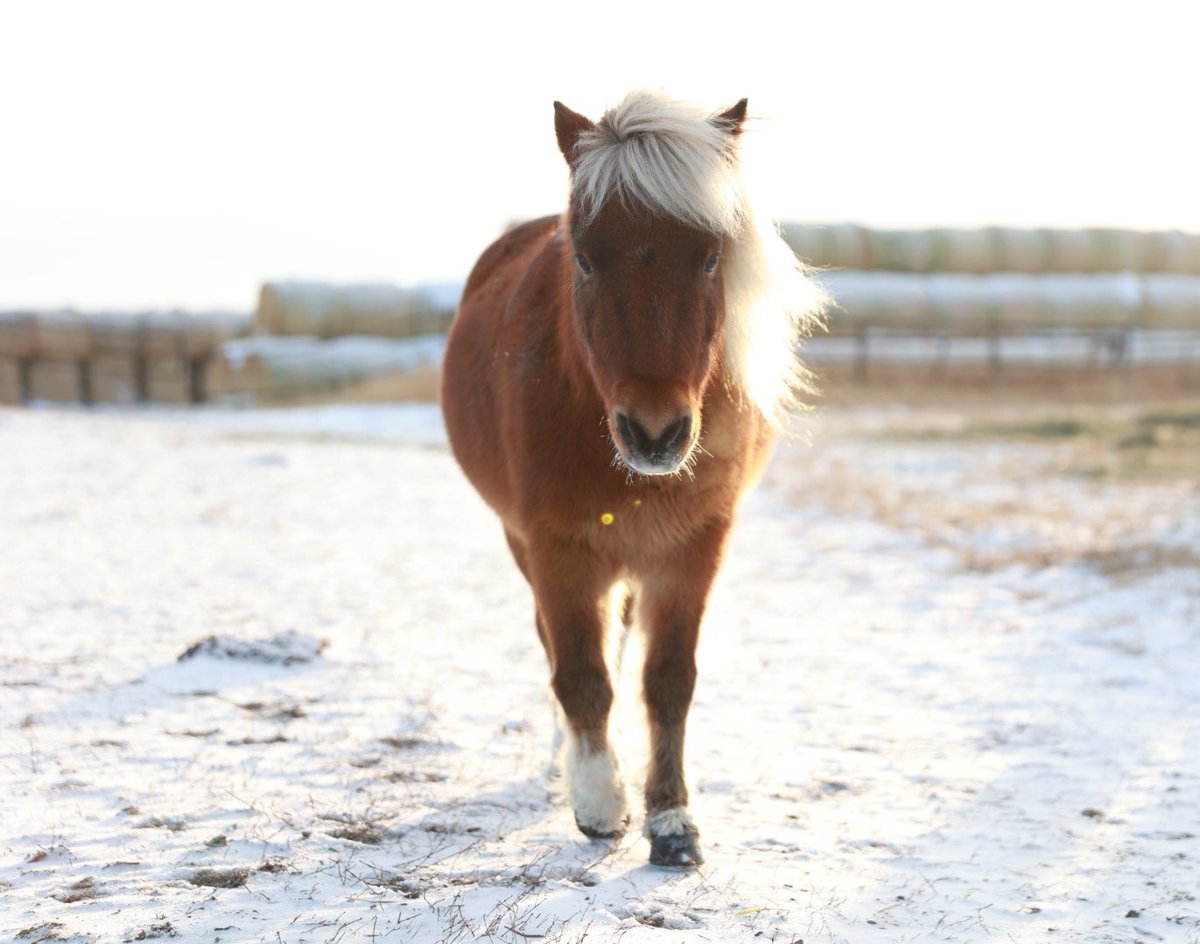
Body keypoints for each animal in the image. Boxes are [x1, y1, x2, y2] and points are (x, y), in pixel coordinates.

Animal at [441, 91, 826, 867]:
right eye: (586, 257)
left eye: (710, 257)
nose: (655, 433)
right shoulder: (556, 549)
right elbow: (580, 674)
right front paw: (599, 803)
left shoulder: (693, 551)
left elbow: (667, 682)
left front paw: (672, 818)